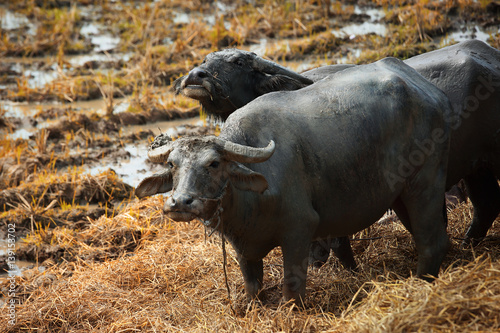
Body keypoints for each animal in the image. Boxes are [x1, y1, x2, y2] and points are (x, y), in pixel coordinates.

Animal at [138, 58, 454, 302]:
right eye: (172, 164)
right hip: (400, 194)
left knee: (432, 241)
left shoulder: (300, 230)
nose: (180, 202)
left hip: (424, 183)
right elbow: (252, 287)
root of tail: (428, 92)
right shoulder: (244, 248)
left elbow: (292, 286)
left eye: (214, 164)